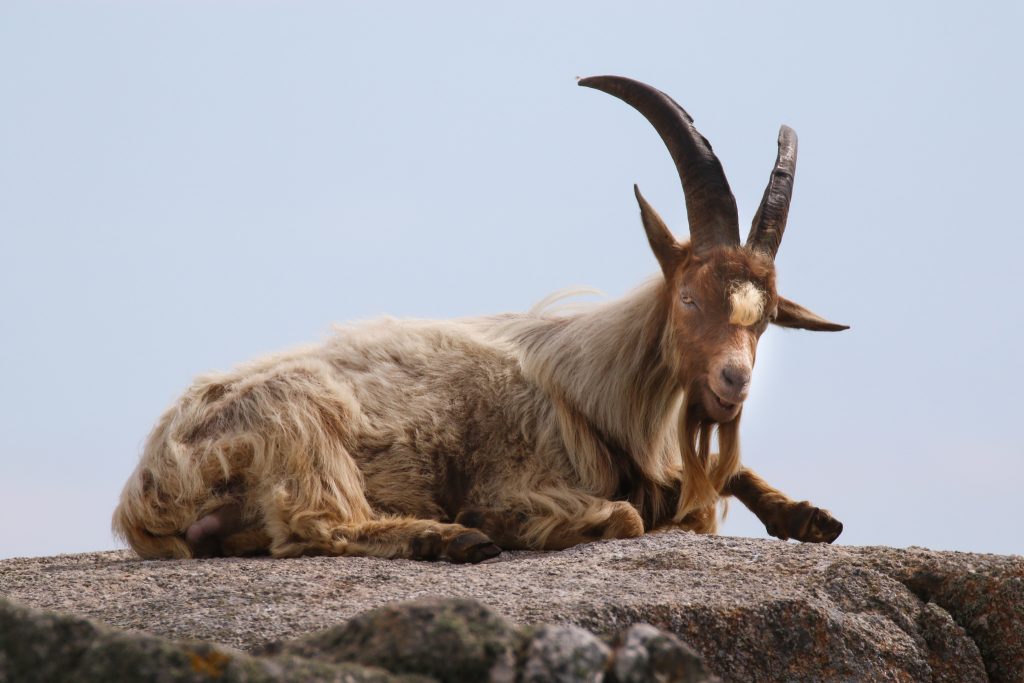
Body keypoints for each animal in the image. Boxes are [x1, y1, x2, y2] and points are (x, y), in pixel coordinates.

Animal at [112, 77, 847, 565]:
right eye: (689, 297)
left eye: (767, 319)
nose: (733, 382)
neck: (592, 385)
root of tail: (146, 489)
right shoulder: (522, 469)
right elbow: (629, 516)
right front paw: (509, 520)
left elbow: (729, 477)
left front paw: (811, 516)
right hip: (297, 420)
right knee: (314, 524)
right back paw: (452, 535)